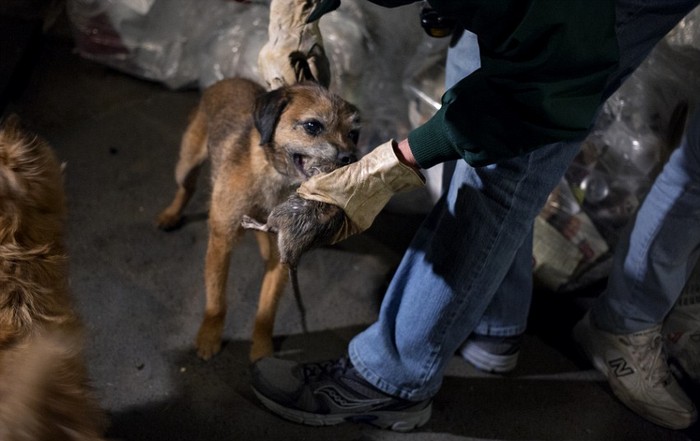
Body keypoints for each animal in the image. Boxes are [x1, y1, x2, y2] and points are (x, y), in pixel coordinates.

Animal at [155, 77, 358, 360]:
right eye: (312, 126)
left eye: (354, 134)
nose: (350, 157)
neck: (273, 176)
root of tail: (227, 80)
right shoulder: (221, 241)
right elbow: (217, 299)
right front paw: (209, 336)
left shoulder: (284, 254)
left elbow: (267, 306)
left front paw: (262, 348)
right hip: (186, 162)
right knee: (186, 187)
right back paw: (172, 214)